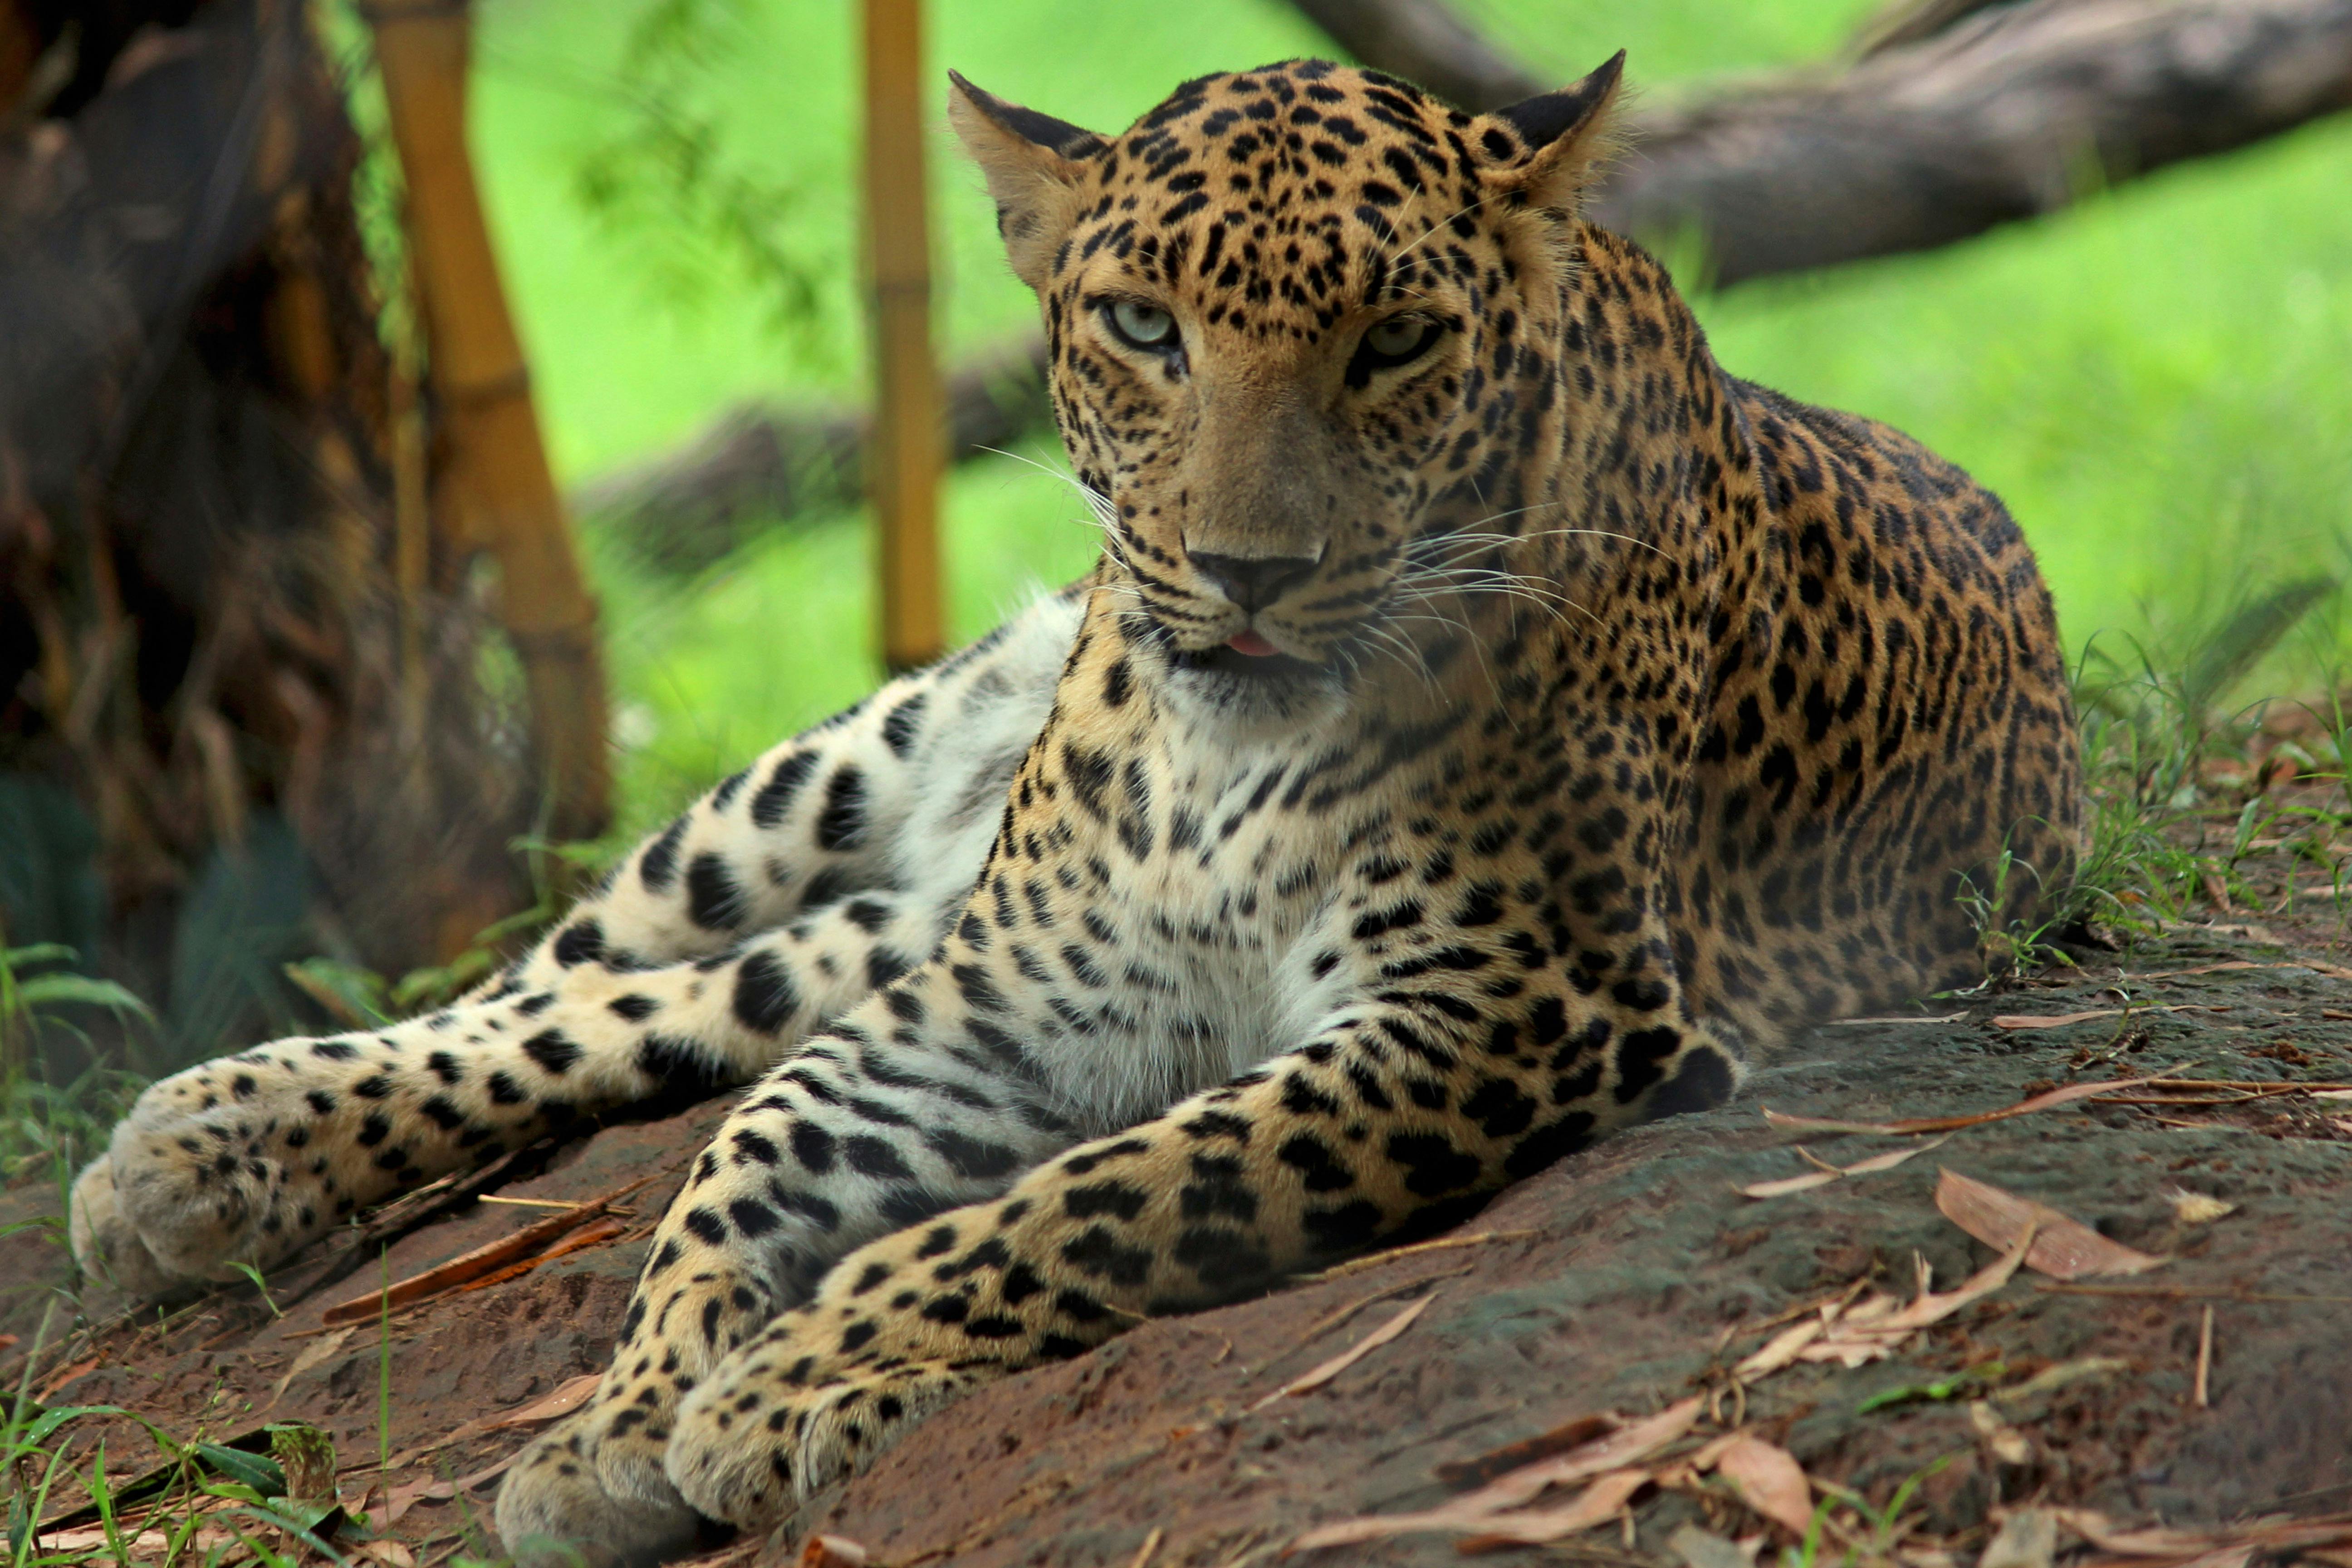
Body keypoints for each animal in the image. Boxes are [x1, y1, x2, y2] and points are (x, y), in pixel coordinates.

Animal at [64, 52, 2079, 1568]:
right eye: (1139, 326)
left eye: (1397, 341)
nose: (1251, 572)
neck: (1218, 769)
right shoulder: (1002, 1001)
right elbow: (747, 1165)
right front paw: (628, 1417)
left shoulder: (1515, 1008)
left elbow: (1116, 1190)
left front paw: (787, 1384)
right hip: (848, 781)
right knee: (567, 976)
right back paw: (197, 1141)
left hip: (901, 917)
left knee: (677, 1010)